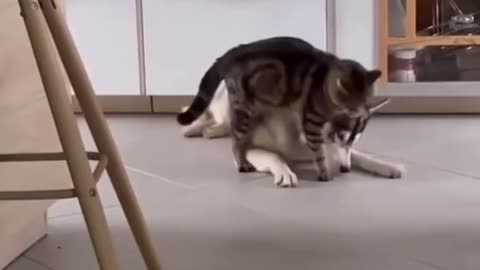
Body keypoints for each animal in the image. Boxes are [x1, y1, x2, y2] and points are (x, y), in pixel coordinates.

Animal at [178, 36, 380, 181]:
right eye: (353, 109)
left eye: (365, 106)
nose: (345, 169)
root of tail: (233, 52)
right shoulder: (310, 121)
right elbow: (290, 156)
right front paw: (316, 172)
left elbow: (360, 156)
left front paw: (382, 166)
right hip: (241, 109)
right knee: (231, 136)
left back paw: (204, 130)